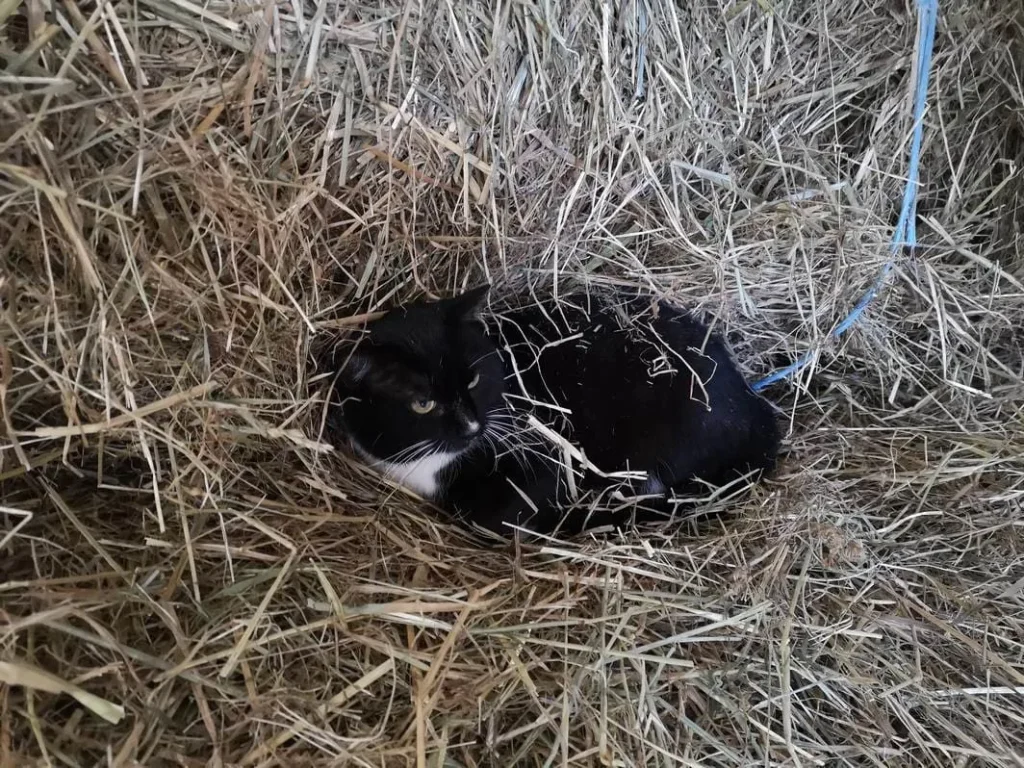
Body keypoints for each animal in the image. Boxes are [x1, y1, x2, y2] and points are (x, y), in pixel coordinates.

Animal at [323, 286, 778, 536]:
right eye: (422, 403)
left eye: (473, 379)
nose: (472, 426)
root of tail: (756, 412)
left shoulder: (546, 457)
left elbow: (499, 516)